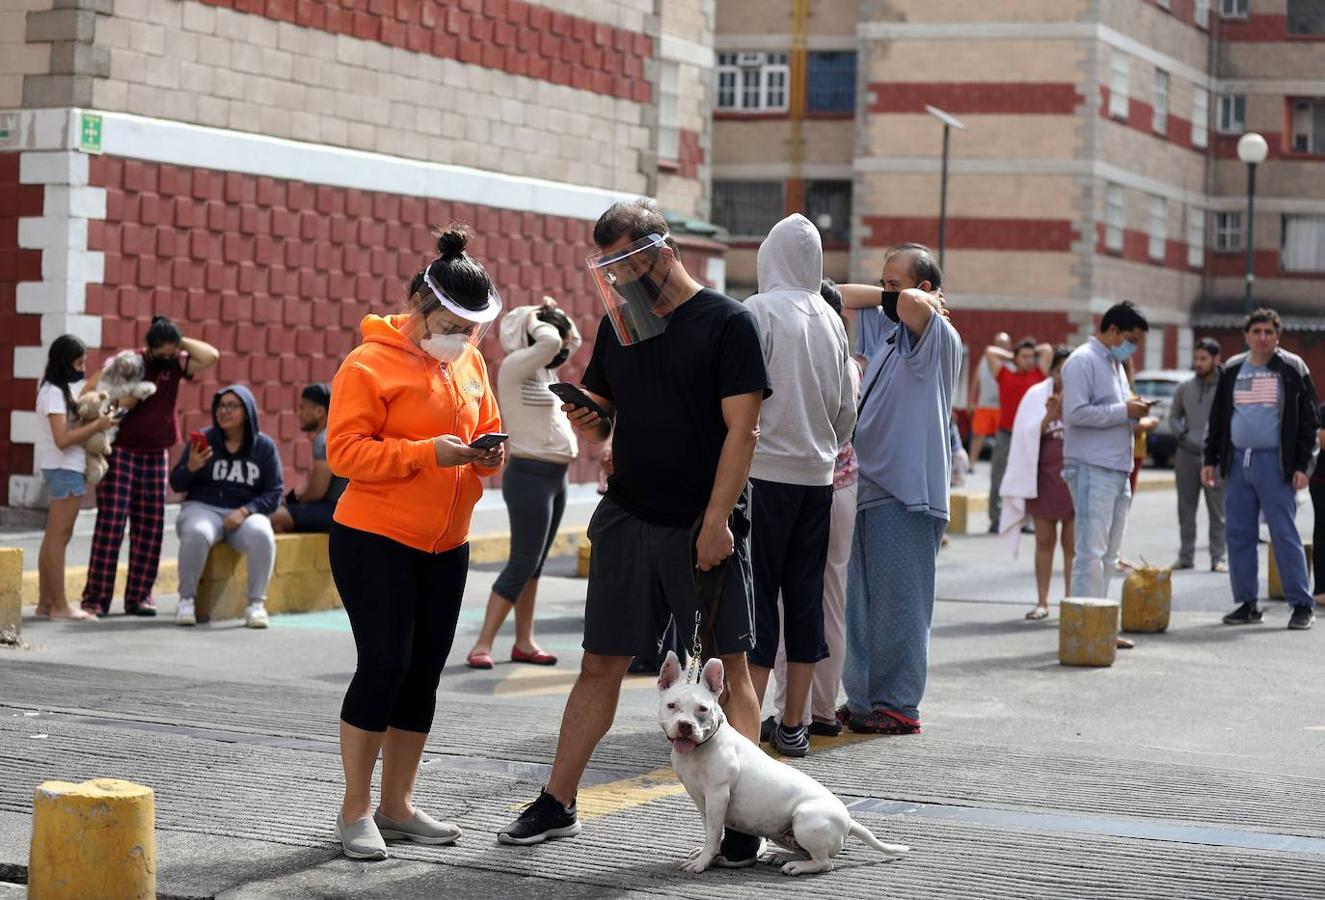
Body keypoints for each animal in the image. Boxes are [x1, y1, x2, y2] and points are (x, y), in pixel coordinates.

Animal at [657, 654, 906, 880]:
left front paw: (702, 863)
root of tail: (848, 821)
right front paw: (706, 853)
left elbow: (713, 833)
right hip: (784, 833)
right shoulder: (702, 800)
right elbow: (710, 829)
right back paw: (786, 857)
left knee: (824, 863)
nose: (685, 725)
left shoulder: (718, 797)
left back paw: (796, 867)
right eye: (671, 706)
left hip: (804, 819)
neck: (700, 748)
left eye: (702, 709)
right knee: (810, 854)